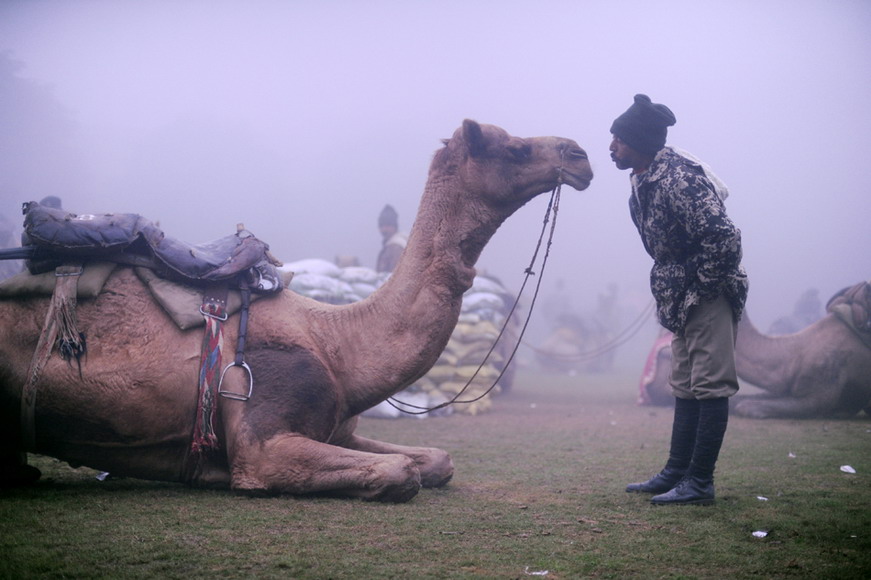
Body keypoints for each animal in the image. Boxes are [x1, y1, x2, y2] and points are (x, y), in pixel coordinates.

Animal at [0, 120, 592, 500]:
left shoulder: (339, 430)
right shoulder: (263, 441)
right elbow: (401, 472)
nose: (580, 155)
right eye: (513, 148)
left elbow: (436, 461)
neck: (338, 344)